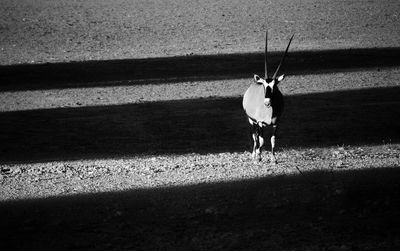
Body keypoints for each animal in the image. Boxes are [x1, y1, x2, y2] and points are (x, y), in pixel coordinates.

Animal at [241, 31, 294, 164]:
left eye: (275, 86)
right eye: (264, 85)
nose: (267, 102)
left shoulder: (276, 123)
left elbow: (272, 140)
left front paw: (274, 159)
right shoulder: (259, 122)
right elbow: (261, 140)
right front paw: (259, 157)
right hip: (251, 121)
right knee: (255, 136)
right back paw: (254, 155)